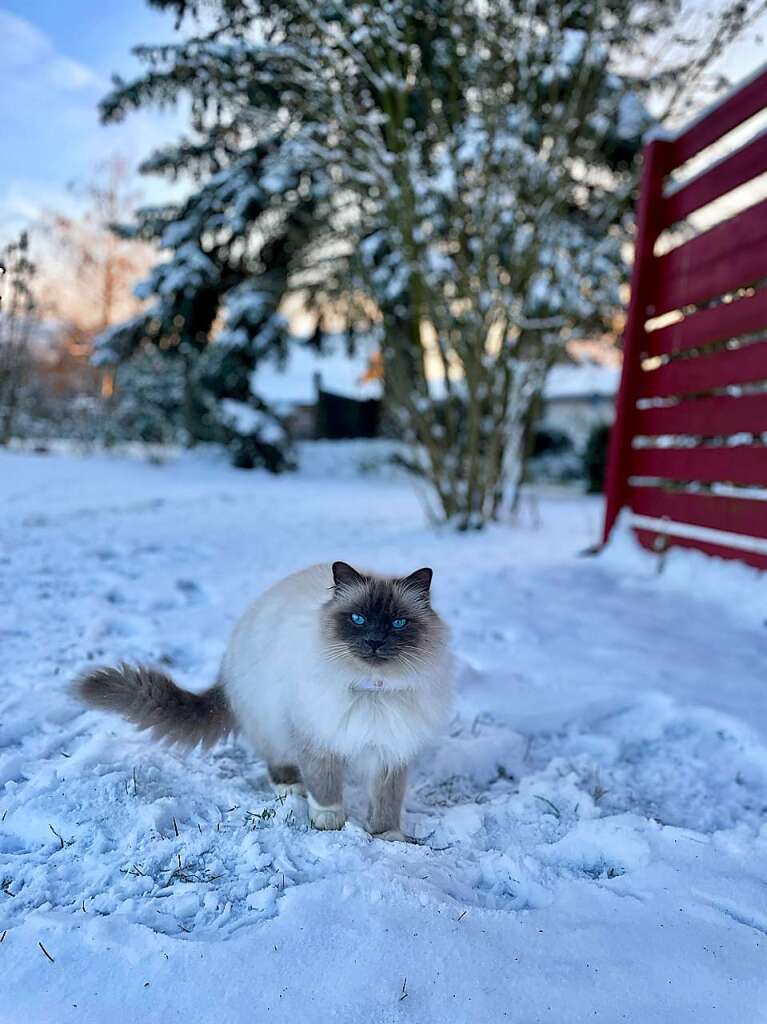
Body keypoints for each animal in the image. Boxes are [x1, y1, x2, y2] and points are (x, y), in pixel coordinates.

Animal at [74, 565, 452, 843]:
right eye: (357, 619)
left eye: (398, 623)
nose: (374, 642)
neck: (372, 687)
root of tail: (226, 669)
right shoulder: (314, 736)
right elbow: (325, 785)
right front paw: (329, 819)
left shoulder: (391, 749)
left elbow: (387, 800)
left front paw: (388, 836)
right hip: (272, 721)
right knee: (277, 761)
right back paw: (290, 787)